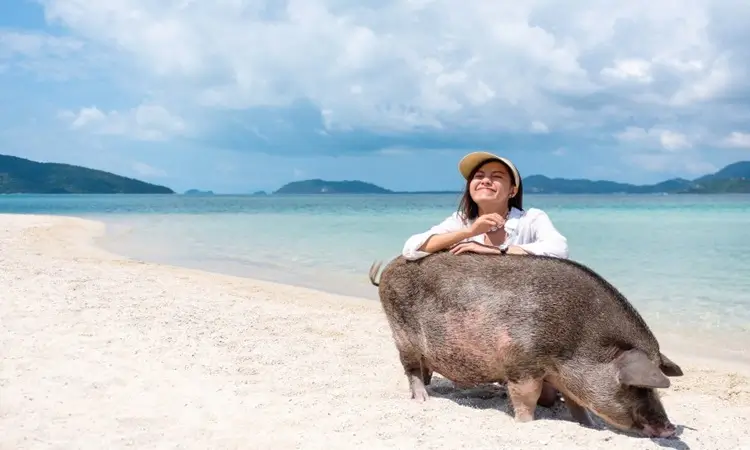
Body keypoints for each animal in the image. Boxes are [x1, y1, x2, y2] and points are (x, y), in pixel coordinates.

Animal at [368, 251, 683, 439]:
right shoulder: (522, 363)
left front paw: (591, 426)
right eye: (637, 387)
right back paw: (423, 399)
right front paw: (525, 425)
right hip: (402, 333)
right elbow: (526, 397)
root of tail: (390, 266)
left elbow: (577, 404)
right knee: (410, 368)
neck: (579, 342)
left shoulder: (563, 377)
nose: (670, 428)